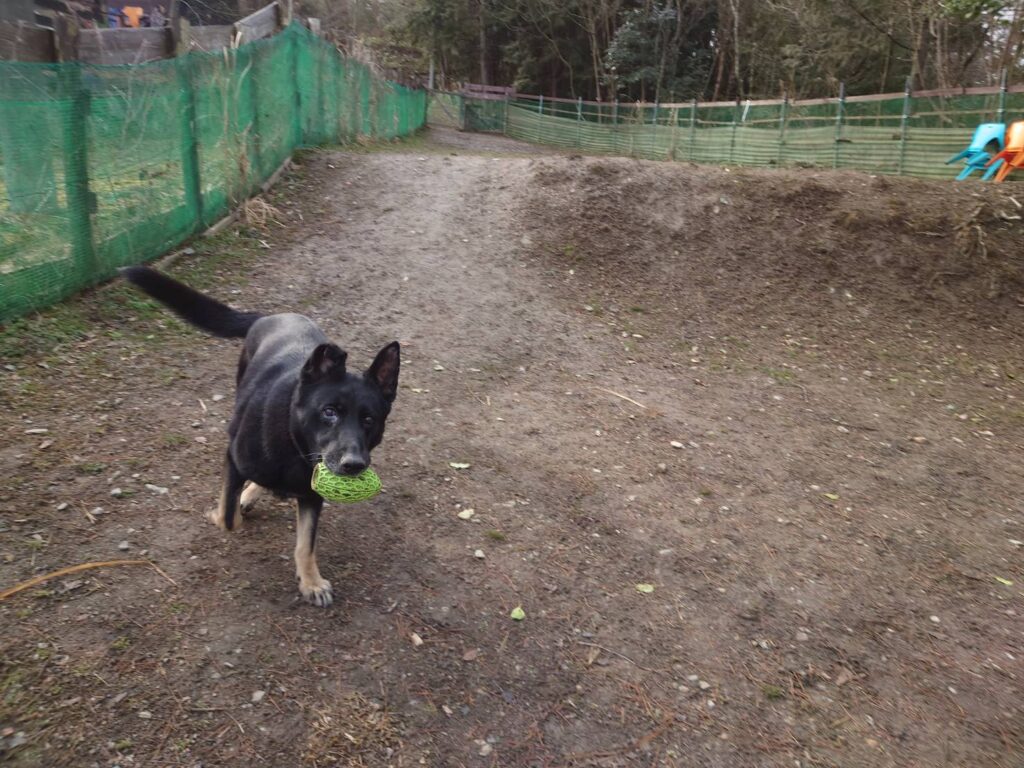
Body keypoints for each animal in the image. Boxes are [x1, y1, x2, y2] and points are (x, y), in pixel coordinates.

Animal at [121, 266, 400, 607]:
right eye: (329, 411)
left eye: (369, 420)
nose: (354, 464)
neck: (295, 446)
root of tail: (271, 316)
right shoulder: (233, 458)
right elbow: (228, 518)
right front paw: (218, 514)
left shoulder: (311, 495)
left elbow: (305, 544)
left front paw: (311, 582)